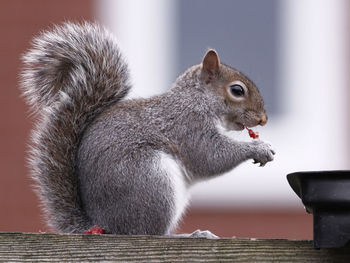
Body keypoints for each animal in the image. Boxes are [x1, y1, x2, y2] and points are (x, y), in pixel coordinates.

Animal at [20, 22, 274, 237]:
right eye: (237, 91)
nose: (263, 119)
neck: (197, 99)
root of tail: (103, 225)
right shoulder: (188, 126)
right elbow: (210, 156)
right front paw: (259, 148)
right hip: (152, 182)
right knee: (149, 232)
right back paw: (191, 235)